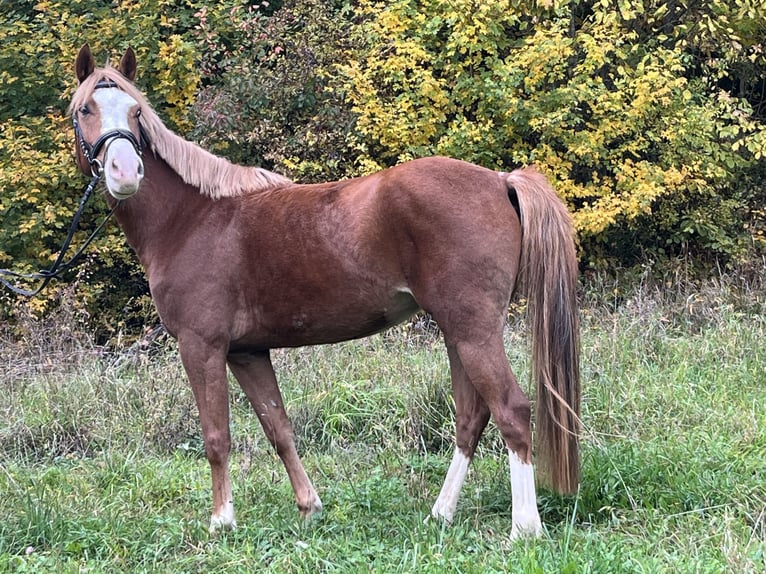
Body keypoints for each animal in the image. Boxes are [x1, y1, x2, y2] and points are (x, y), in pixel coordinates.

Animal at [69, 44, 580, 539]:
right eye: (86, 109)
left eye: (136, 111)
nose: (124, 171)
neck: (192, 219)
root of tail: (501, 180)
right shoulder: (247, 352)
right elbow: (279, 428)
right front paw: (309, 507)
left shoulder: (202, 346)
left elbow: (216, 436)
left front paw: (221, 521)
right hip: (459, 333)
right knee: (471, 418)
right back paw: (441, 514)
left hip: (474, 331)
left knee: (511, 411)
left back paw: (524, 528)